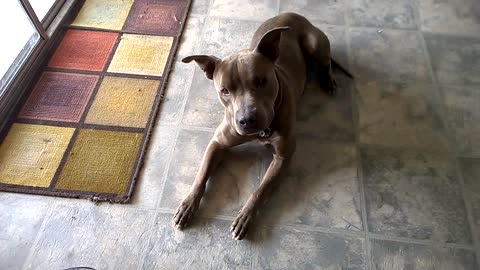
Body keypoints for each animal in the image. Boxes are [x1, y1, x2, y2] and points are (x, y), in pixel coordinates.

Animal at [172, 13, 348, 240]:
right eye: (225, 90)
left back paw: (328, 81)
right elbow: (200, 176)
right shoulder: (217, 143)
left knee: (326, 62)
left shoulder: (283, 156)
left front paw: (245, 216)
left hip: (315, 44)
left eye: (261, 81)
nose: (247, 120)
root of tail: (294, 14)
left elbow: (261, 190)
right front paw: (187, 204)